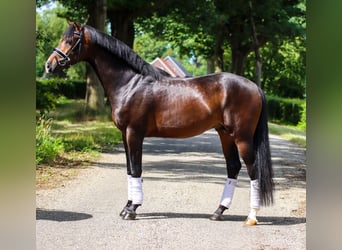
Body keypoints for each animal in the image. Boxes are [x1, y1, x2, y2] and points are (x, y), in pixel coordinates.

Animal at [46, 22, 276, 225]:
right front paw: (126, 207)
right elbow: (129, 170)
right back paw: (218, 212)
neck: (130, 84)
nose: (49, 65)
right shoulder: (124, 135)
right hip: (225, 134)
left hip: (242, 137)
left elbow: (136, 169)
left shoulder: (134, 133)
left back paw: (251, 217)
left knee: (253, 170)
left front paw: (132, 210)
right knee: (233, 167)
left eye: (70, 40)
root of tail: (254, 86)